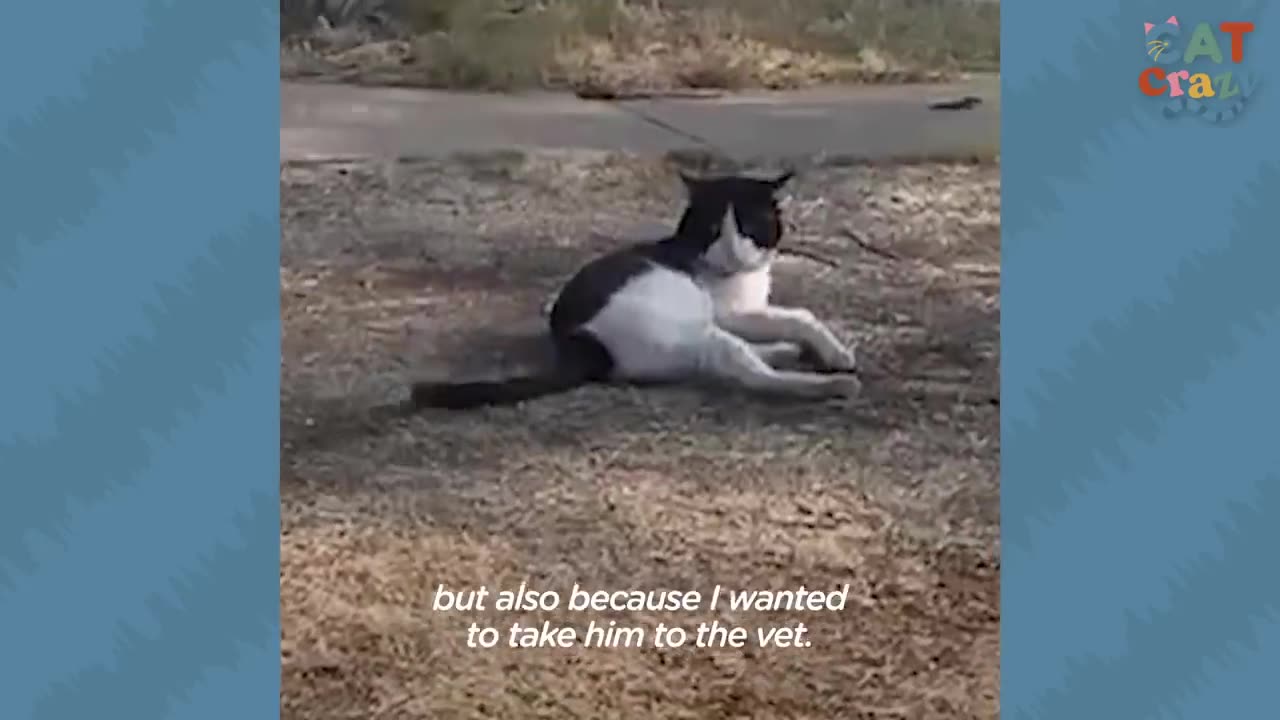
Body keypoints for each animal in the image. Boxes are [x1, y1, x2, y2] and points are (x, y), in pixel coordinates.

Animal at [409, 165, 860, 407]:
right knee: (751, 373)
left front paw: (829, 349)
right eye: (713, 230)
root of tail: (579, 343)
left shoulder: (747, 311)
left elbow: (798, 316)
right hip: (694, 330)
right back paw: (828, 385)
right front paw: (835, 359)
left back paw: (785, 352)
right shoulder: (732, 313)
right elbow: (797, 316)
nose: (732, 253)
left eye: (749, 228)